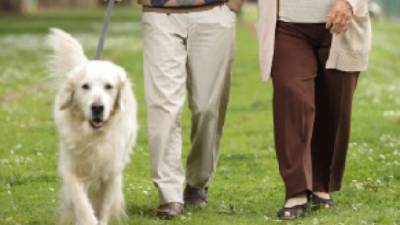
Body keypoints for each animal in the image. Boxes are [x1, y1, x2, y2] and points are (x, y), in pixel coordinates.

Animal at [48, 28, 138, 225]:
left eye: (109, 86)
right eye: (85, 86)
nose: (97, 107)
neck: (94, 136)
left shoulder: (111, 172)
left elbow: (103, 207)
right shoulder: (71, 169)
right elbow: (81, 203)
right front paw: (87, 219)